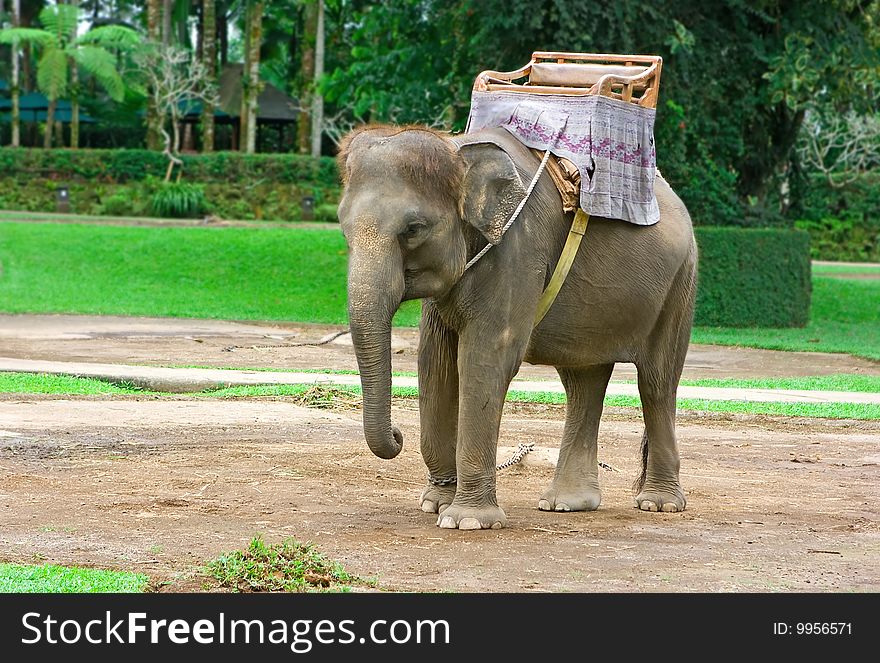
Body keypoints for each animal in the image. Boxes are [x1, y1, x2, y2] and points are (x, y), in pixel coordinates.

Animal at [336, 122, 696, 532]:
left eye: (413, 228)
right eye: (343, 228)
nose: (398, 435)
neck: (460, 151)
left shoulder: (518, 249)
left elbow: (485, 358)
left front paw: (467, 521)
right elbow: (435, 363)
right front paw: (435, 504)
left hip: (680, 284)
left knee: (656, 383)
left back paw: (657, 504)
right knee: (583, 381)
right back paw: (567, 504)